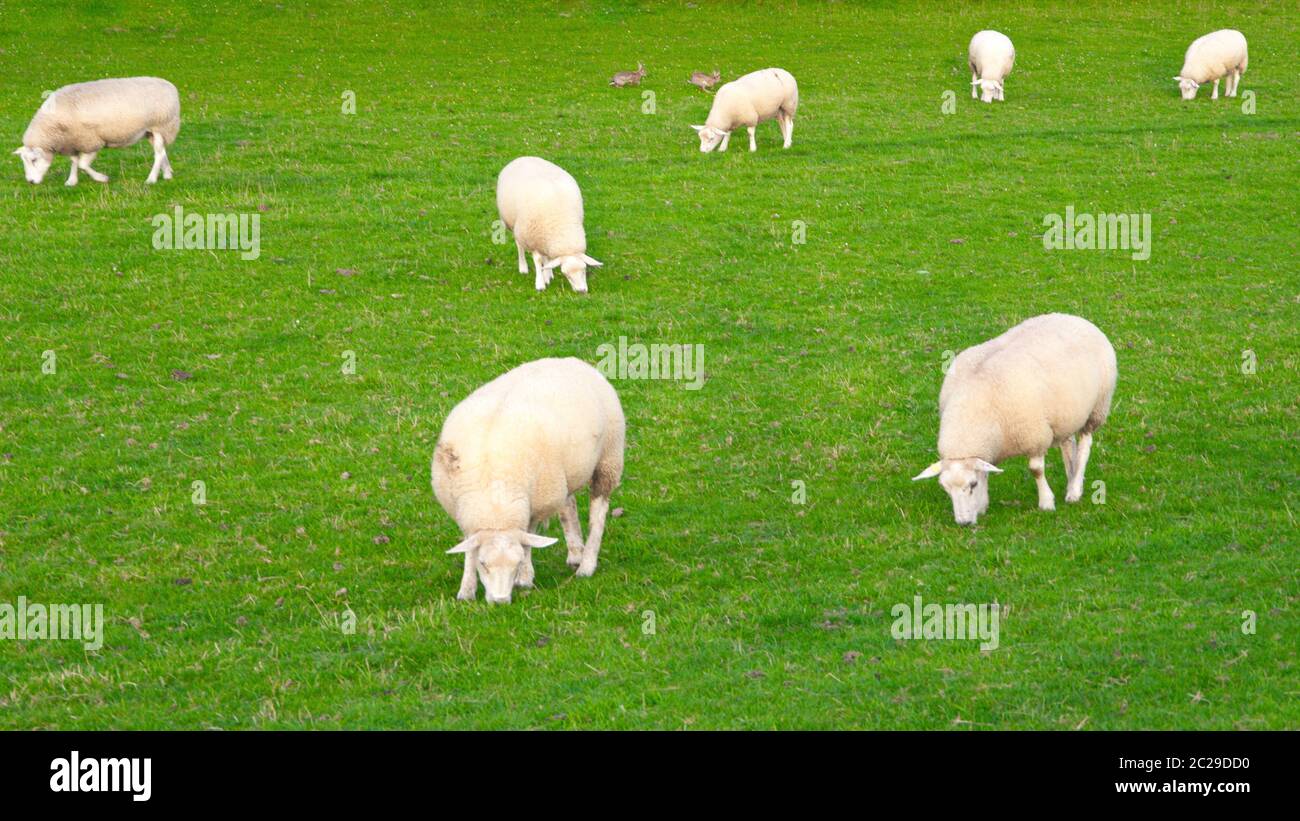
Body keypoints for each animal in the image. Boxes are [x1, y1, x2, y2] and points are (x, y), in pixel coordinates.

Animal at [13, 77, 180, 186]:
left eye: (34, 160)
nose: (30, 182)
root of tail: (169, 85)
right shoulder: (73, 141)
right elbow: (74, 161)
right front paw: (71, 181)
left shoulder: (91, 141)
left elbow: (82, 164)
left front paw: (102, 178)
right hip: (151, 132)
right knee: (162, 151)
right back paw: (167, 174)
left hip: (161, 125)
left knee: (158, 154)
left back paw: (151, 179)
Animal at [431, 357, 626, 604]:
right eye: (483, 564)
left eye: (516, 563)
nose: (500, 601)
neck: (497, 506)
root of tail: (569, 360)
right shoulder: (465, 513)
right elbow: (469, 548)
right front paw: (466, 589)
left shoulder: (536, 504)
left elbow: (528, 537)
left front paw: (524, 577)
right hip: (563, 473)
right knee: (568, 505)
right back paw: (575, 553)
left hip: (608, 458)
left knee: (598, 512)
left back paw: (587, 564)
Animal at [496, 157, 603, 293]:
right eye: (566, 274)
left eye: (584, 270)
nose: (581, 291)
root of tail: (524, 157)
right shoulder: (532, 239)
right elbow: (538, 259)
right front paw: (540, 283)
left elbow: (549, 259)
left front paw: (547, 274)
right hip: (515, 226)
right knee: (519, 246)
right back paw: (523, 268)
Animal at [912, 313, 1117, 525]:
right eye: (945, 488)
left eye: (972, 484)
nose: (964, 523)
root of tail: (1074, 317)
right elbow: (986, 470)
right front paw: (983, 504)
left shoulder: (1034, 436)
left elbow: (1036, 470)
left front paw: (1046, 502)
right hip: (1066, 416)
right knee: (1068, 445)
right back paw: (1071, 478)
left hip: (1097, 408)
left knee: (1085, 445)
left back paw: (1074, 490)